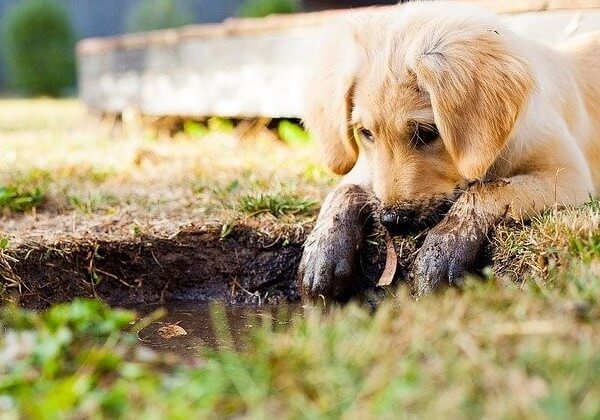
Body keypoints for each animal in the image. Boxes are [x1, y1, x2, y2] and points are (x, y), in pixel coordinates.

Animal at [298, 0, 600, 302]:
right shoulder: (370, 168)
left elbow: (487, 189)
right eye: (367, 134)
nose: (391, 221)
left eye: (425, 133)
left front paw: (443, 250)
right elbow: (345, 188)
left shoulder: (570, 177)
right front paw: (322, 252)